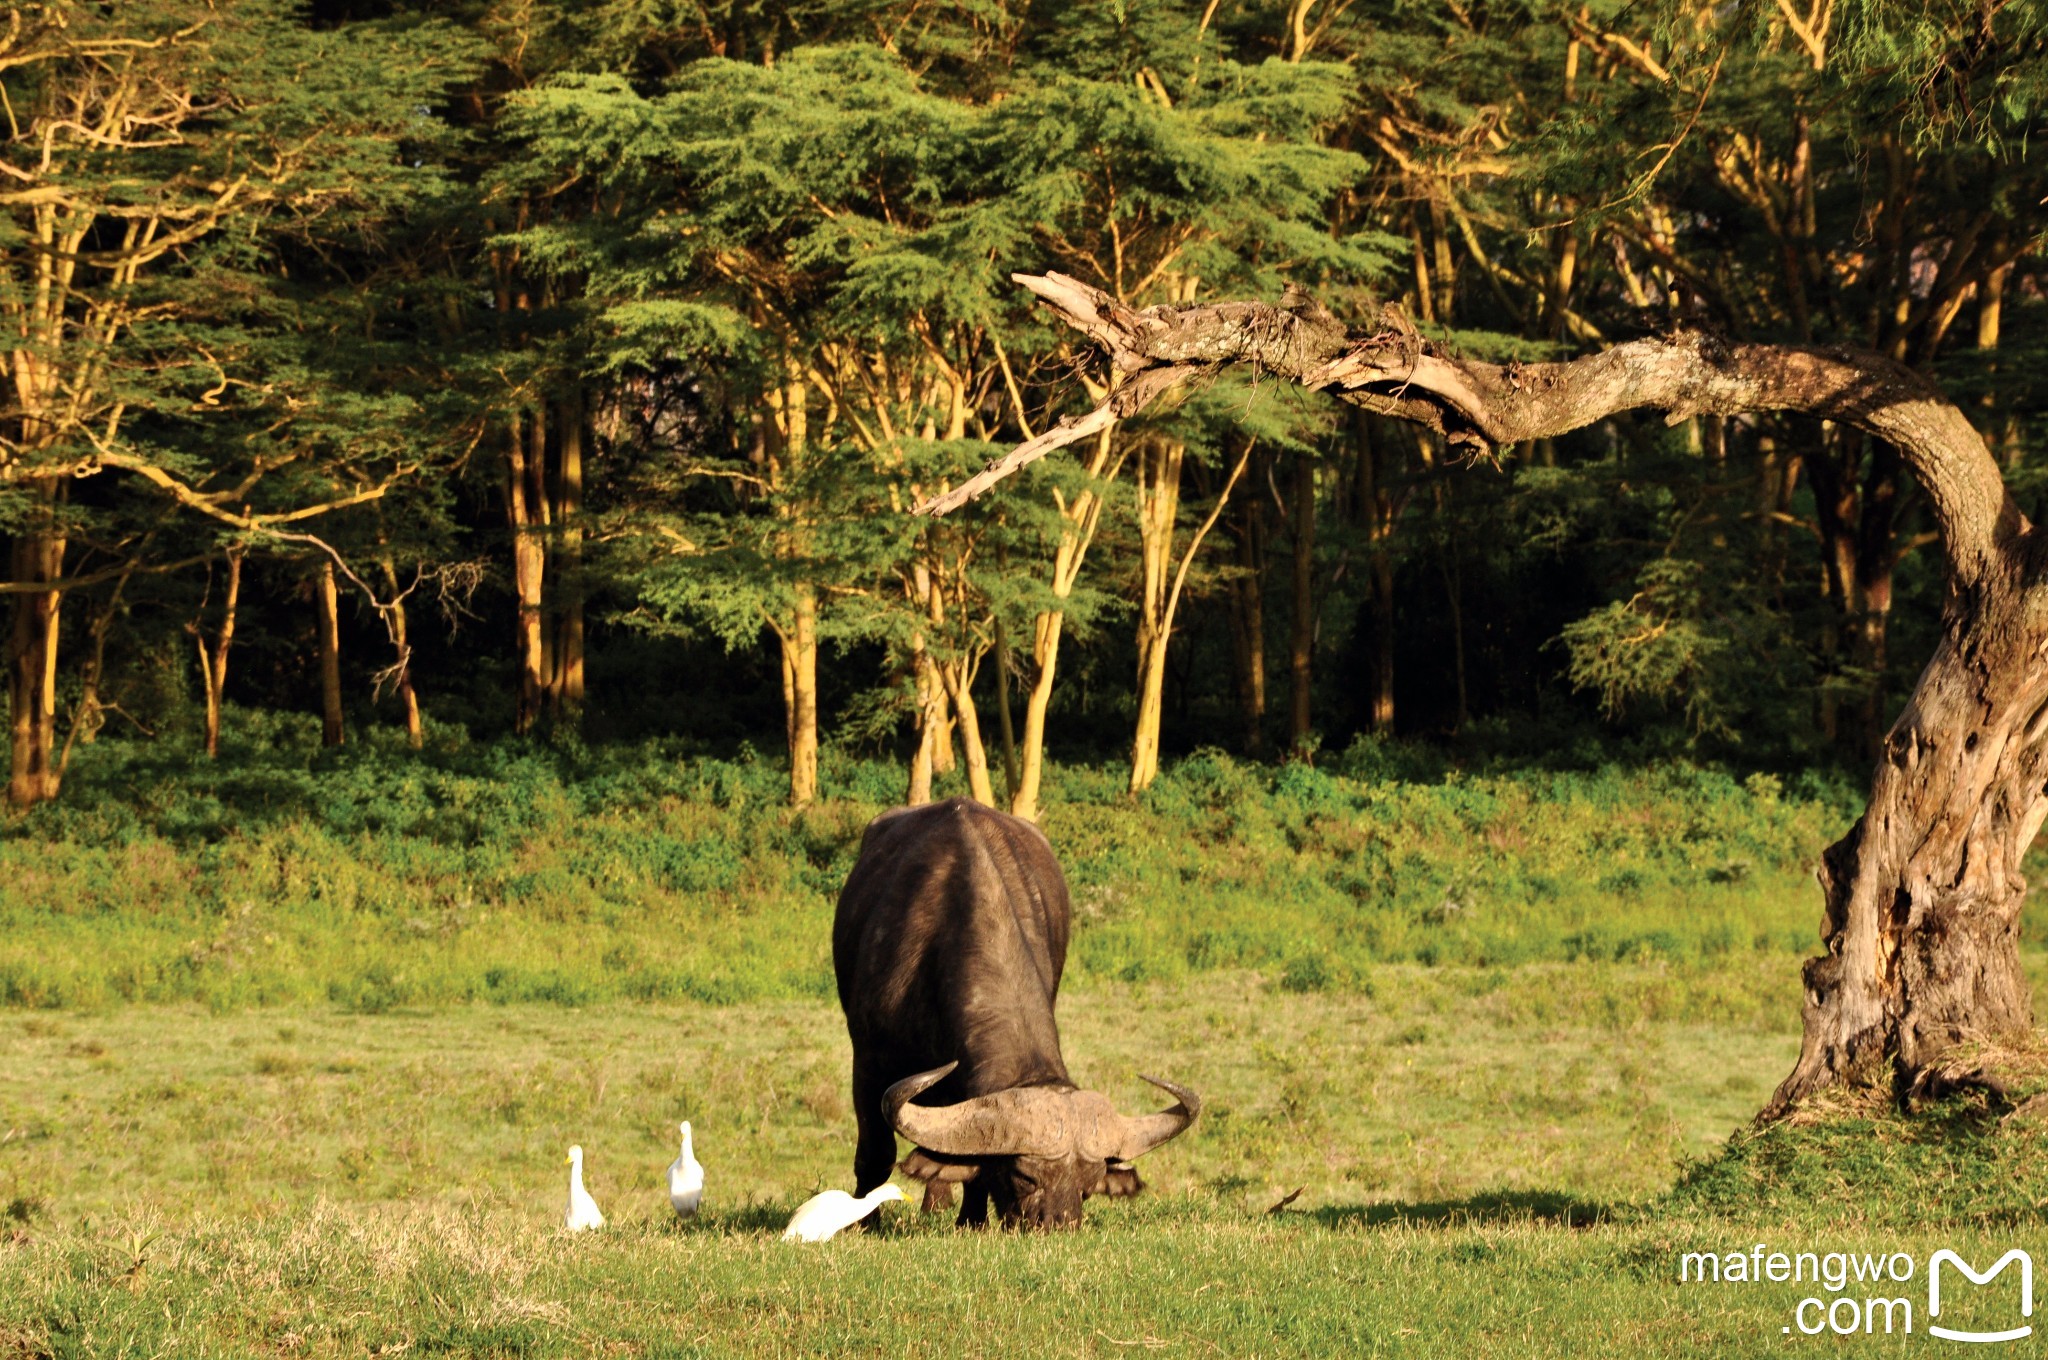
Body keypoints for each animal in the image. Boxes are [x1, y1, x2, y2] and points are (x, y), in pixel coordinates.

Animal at [827, 798, 1196, 1228]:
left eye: (1089, 1183)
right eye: (1023, 1175)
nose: (1056, 1224)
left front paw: (972, 1221)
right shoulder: (868, 1061)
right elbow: (876, 1152)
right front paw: (863, 1222)